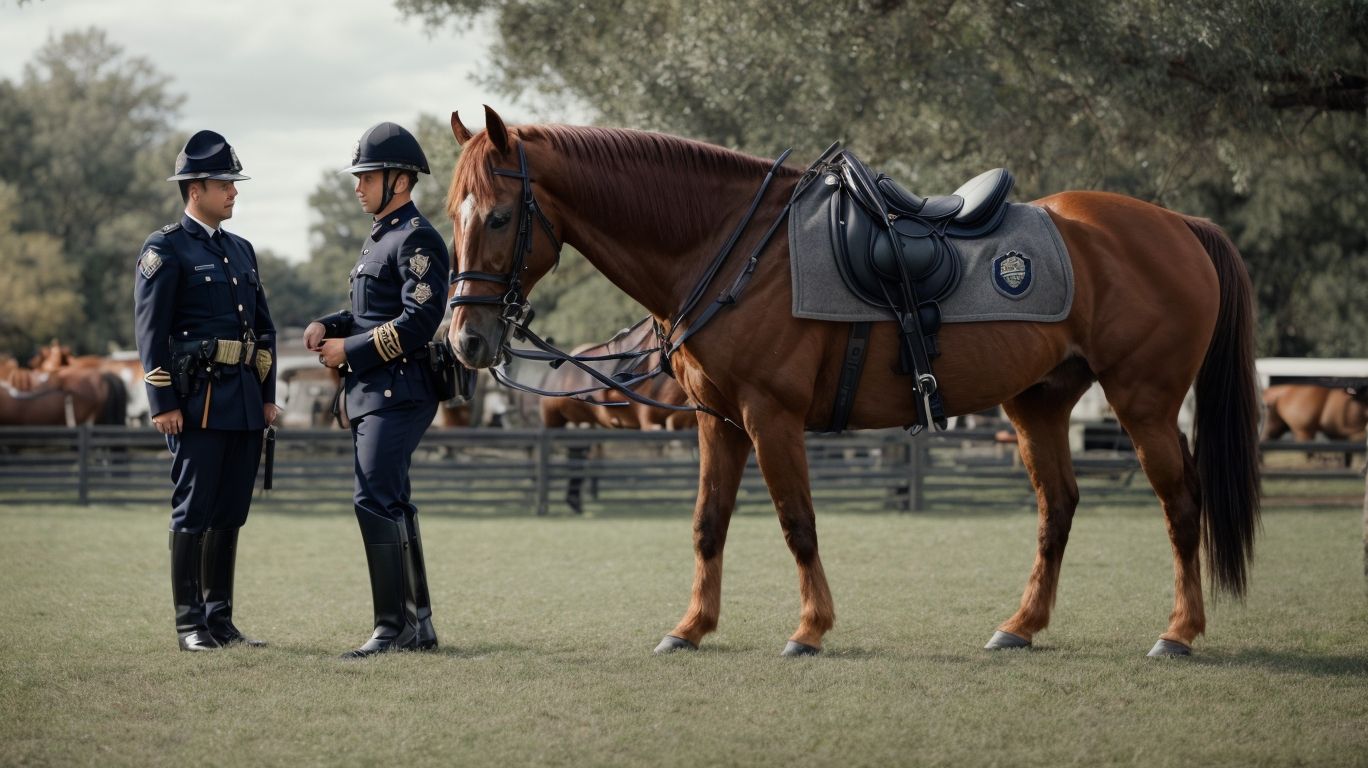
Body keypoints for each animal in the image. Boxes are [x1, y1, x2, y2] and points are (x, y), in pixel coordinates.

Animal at [445, 108, 1261, 658]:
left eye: (500, 216)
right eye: (453, 213)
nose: (465, 340)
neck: (734, 247)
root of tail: (1178, 225)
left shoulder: (771, 416)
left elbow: (796, 522)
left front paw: (810, 628)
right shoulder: (717, 421)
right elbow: (708, 525)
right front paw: (692, 626)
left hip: (1143, 402)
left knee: (1181, 505)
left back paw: (1179, 631)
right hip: (1038, 404)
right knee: (1056, 508)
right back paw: (1021, 626)